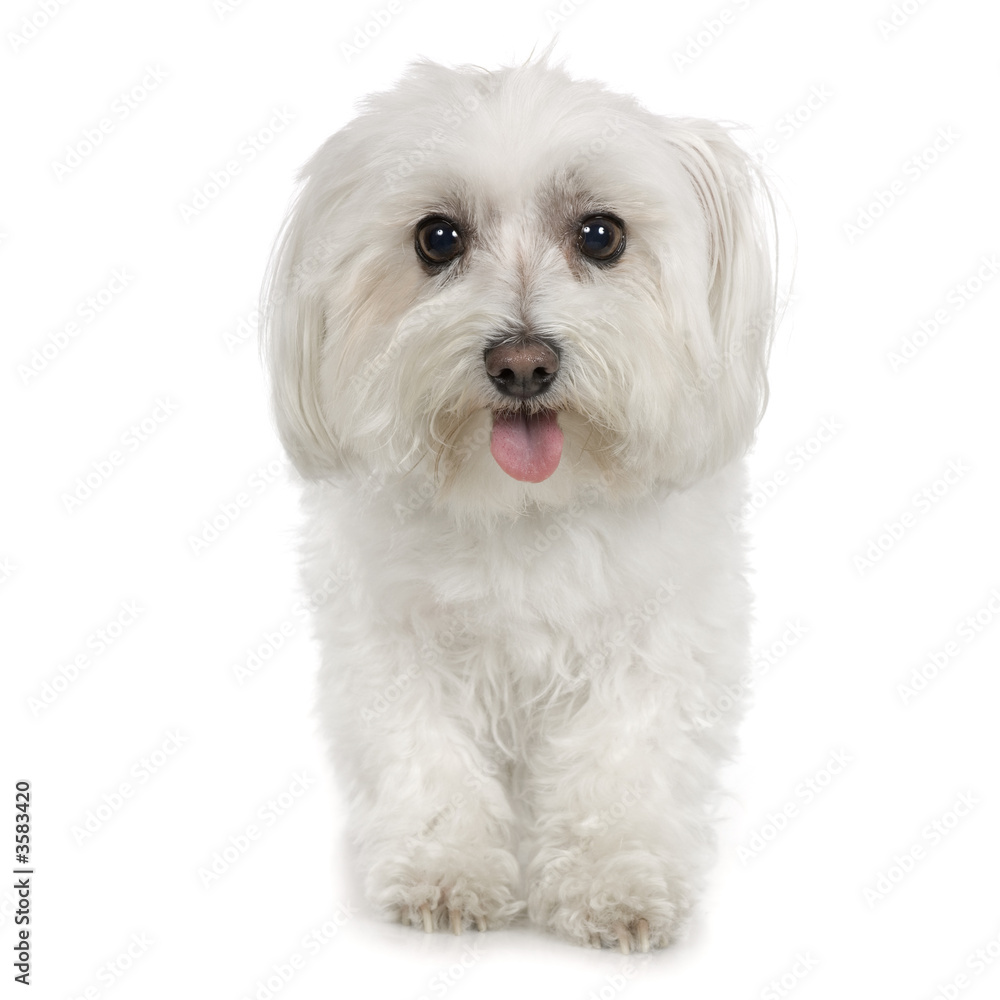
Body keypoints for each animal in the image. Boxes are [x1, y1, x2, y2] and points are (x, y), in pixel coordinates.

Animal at [264, 56, 780, 952]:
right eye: (437, 238)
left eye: (601, 235)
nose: (523, 363)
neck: (525, 507)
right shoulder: (394, 645)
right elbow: (426, 756)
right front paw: (446, 871)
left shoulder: (656, 641)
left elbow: (620, 761)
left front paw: (614, 880)